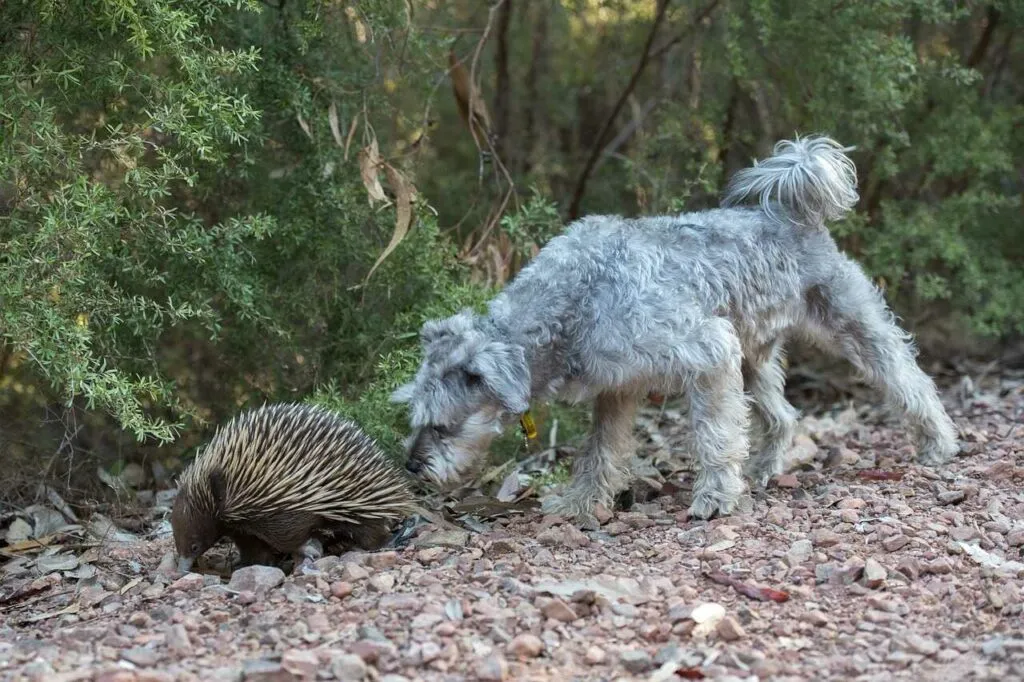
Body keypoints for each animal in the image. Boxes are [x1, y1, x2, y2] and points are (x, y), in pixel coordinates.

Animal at [391, 135, 958, 522]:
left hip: (853, 325)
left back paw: (938, 445)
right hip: (755, 357)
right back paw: (763, 470)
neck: (574, 301)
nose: (412, 467)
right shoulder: (617, 388)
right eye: (417, 417)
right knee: (783, 416)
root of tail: (791, 211)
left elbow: (714, 434)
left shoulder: (707, 353)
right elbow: (598, 453)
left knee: (911, 381)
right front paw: (579, 503)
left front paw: (714, 498)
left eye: (442, 425)